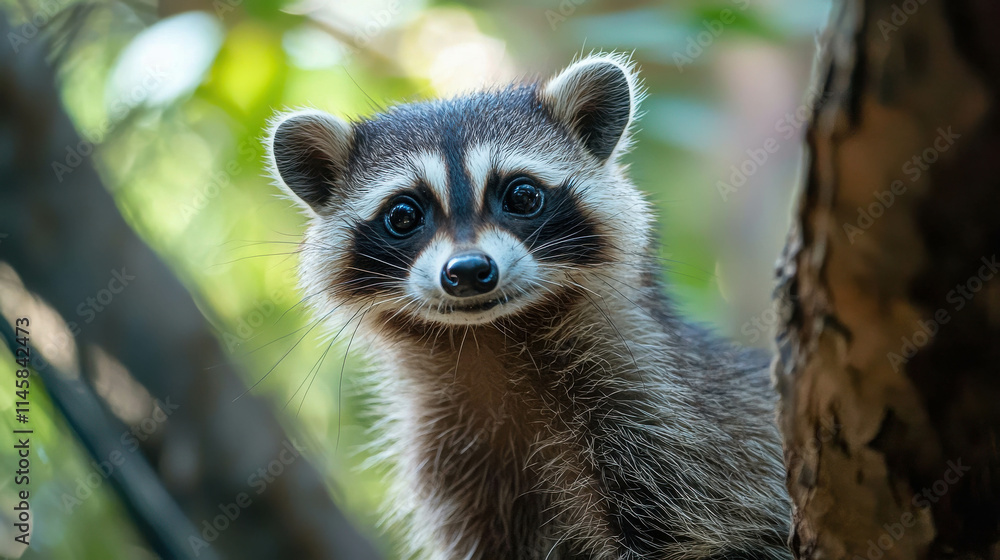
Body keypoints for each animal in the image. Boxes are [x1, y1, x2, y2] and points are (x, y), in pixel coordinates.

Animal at [266, 53, 791, 560]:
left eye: (522, 195)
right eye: (403, 215)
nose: (469, 270)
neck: (488, 338)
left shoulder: (668, 417)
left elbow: (682, 526)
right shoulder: (448, 454)